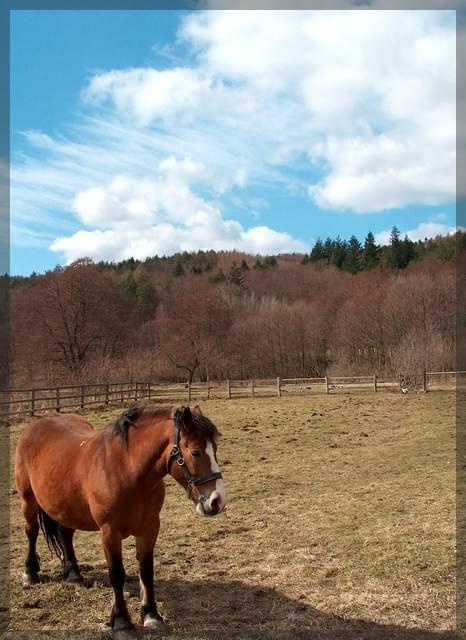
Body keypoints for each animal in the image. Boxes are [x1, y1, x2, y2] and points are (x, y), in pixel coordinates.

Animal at [14, 402, 226, 632]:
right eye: (195, 452)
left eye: (215, 449)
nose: (217, 501)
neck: (126, 470)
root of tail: (35, 425)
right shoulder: (110, 532)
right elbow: (117, 573)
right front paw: (122, 621)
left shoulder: (150, 527)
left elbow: (146, 570)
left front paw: (151, 614)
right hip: (28, 500)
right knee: (31, 532)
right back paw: (30, 574)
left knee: (66, 533)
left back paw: (73, 573)